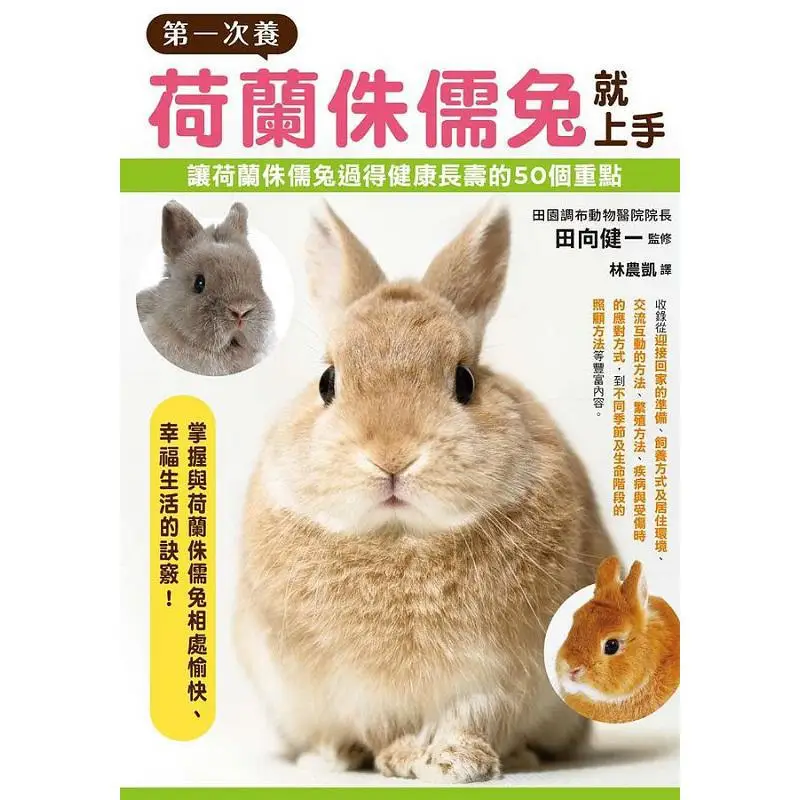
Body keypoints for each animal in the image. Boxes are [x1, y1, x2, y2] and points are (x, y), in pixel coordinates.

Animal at [235, 201, 616, 783]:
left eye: (465, 381)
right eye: (327, 382)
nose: (392, 456)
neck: (402, 536)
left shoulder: (500, 673)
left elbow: (472, 715)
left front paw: (461, 762)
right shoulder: (354, 687)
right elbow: (383, 728)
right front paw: (406, 758)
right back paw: (329, 758)